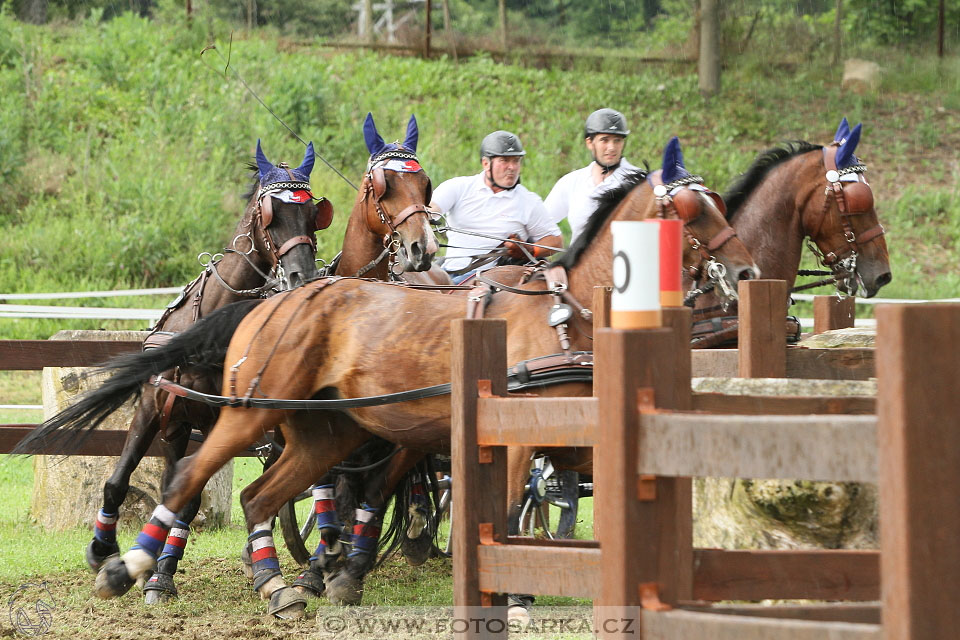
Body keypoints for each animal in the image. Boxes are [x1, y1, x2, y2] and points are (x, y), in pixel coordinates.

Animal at [11, 135, 752, 616]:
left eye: (719, 200)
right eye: (692, 209)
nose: (745, 270)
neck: (565, 315)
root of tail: (278, 300)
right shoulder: (516, 435)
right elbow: (508, 510)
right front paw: (511, 594)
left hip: (332, 433)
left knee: (267, 495)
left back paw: (290, 581)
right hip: (252, 413)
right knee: (191, 478)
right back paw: (136, 568)